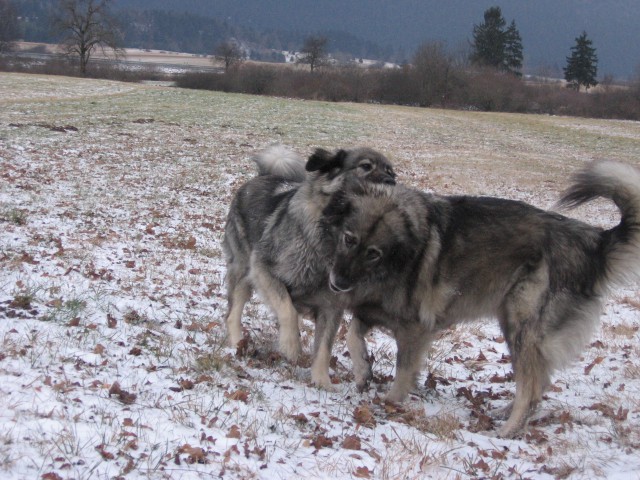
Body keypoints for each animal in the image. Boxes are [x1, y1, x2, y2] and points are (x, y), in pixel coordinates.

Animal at [224, 144, 396, 388]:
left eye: (392, 172)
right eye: (365, 166)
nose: (392, 182)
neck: (331, 236)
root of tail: (261, 177)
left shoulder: (331, 307)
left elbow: (323, 348)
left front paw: (321, 381)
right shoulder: (263, 268)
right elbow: (287, 310)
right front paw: (291, 346)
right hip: (244, 272)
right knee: (233, 313)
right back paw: (239, 343)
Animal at [324, 162, 640, 438]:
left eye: (373, 253)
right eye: (349, 239)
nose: (337, 283)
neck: (397, 259)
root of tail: (593, 244)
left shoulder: (414, 330)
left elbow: (402, 373)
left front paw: (390, 403)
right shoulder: (373, 311)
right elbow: (352, 335)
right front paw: (363, 370)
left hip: (522, 328)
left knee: (531, 389)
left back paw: (508, 431)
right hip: (513, 327)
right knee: (538, 382)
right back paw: (505, 413)